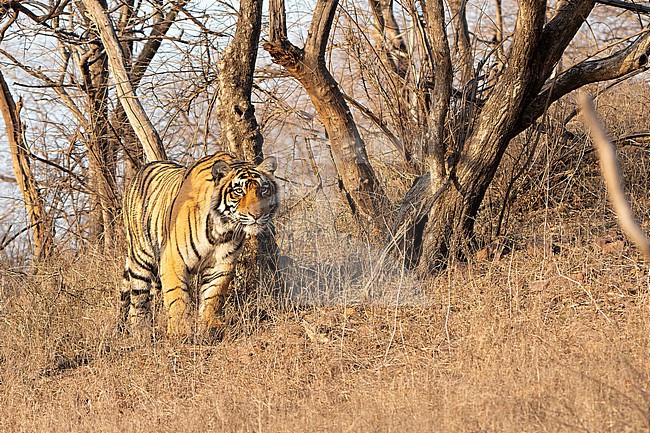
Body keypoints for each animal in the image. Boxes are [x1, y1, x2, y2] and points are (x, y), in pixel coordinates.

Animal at [119, 151, 279, 339]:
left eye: (263, 189)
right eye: (239, 191)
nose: (257, 215)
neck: (223, 229)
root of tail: (142, 169)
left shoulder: (221, 264)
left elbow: (213, 296)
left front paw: (210, 326)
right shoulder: (173, 259)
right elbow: (177, 297)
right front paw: (180, 330)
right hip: (141, 257)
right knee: (138, 297)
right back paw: (140, 330)